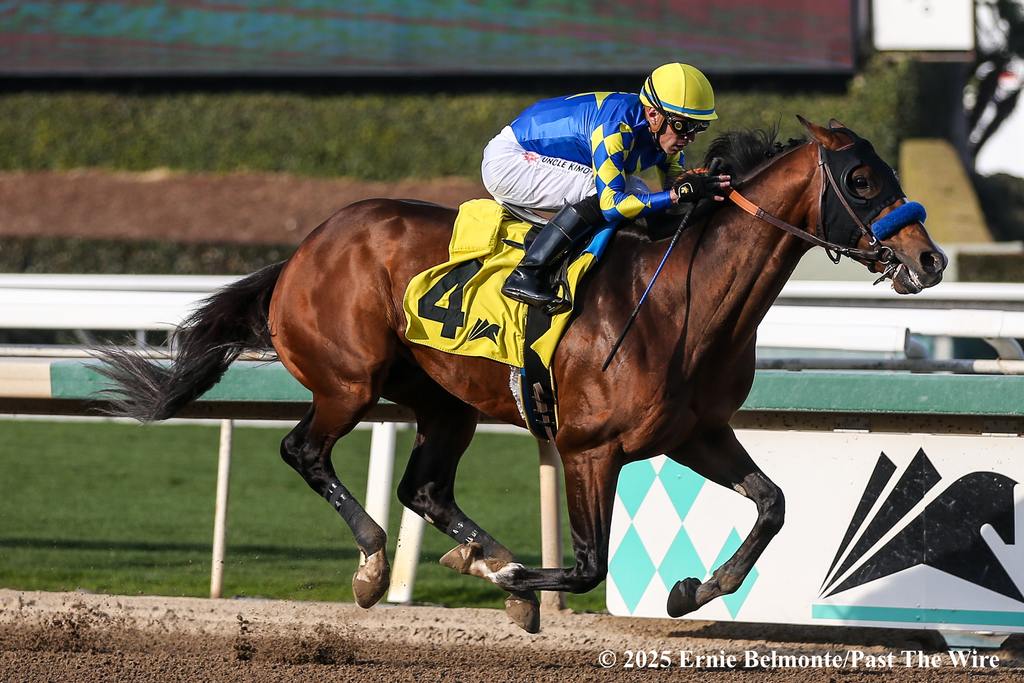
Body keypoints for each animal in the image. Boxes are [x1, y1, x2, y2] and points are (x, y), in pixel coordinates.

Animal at [96, 118, 942, 634]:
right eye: (861, 180)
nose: (929, 260)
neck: (679, 296)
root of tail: (305, 248)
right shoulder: (587, 448)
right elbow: (587, 564)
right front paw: (519, 589)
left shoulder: (695, 431)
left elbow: (772, 504)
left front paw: (686, 590)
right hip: (349, 380)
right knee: (305, 451)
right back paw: (378, 564)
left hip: (445, 403)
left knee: (424, 487)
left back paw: (485, 553)